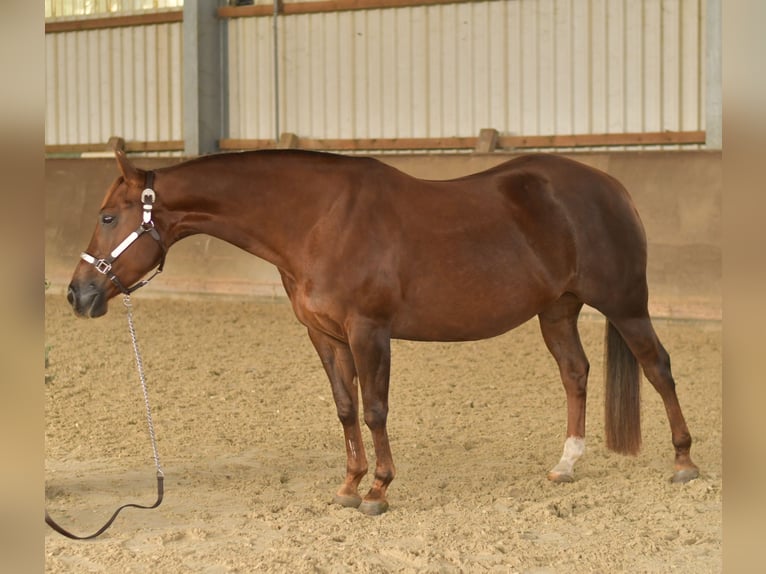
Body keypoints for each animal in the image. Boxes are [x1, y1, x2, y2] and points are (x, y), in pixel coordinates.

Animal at [67, 149, 700, 515]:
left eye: (107, 216)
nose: (79, 294)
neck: (318, 220)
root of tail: (611, 188)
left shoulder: (368, 331)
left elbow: (375, 409)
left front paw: (378, 491)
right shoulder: (325, 337)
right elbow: (346, 409)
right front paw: (349, 487)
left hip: (624, 304)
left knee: (658, 367)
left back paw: (683, 463)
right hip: (558, 310)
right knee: (576, 373)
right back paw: (567, 464)